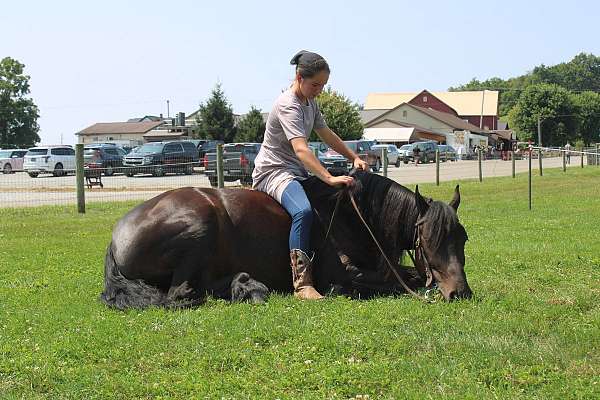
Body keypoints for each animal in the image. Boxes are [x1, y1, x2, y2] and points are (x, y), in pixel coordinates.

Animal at [101, 169, 472, 310]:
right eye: (429, 239)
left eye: (463, 239)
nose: (460, 293)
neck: (355, 217)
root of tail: (118, 233)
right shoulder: (345, 274)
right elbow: (386, 282)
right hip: (199, 225)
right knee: (180, 295)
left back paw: (246, 285)